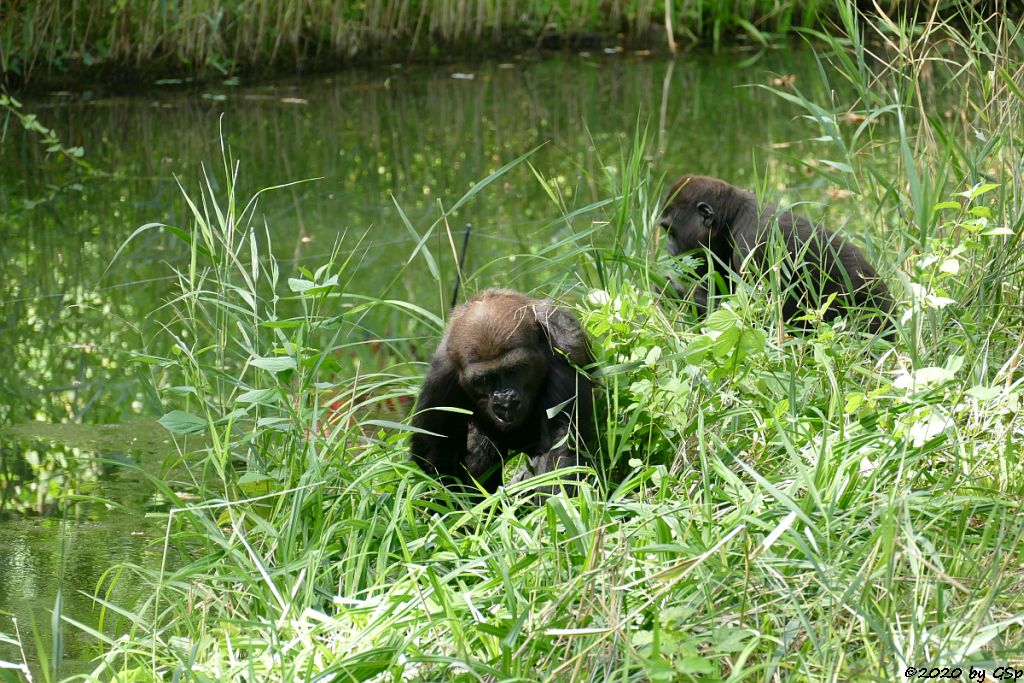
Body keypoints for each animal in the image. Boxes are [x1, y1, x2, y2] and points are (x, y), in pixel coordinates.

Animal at [409, 286, 593, 491]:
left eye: (514, 370)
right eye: (484, 379)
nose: (505, 400)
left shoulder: (564, 348)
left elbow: (560, 446)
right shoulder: (441, 374)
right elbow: (437, 452)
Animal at [659, 176, 892, 335]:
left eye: (671, 232)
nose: (669, 249)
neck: (732, 217)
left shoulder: (754, 245)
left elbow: (758, 317)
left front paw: (673, 293)